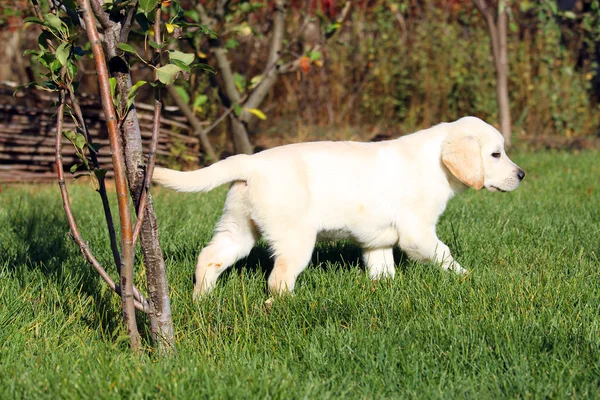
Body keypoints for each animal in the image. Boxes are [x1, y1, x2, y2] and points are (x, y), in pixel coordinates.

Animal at [155, 117, 524, 296]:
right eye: (496, 154)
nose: (521, 175)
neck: (434, 162)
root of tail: (249, 162)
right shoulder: (417, 232)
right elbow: (444, 255)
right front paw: (468, 278)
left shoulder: (379, 240)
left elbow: (382, 269)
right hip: (295, 239)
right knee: (278, 280)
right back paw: (286, 305)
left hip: (239, 228)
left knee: (209, 257)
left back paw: (201, 298)